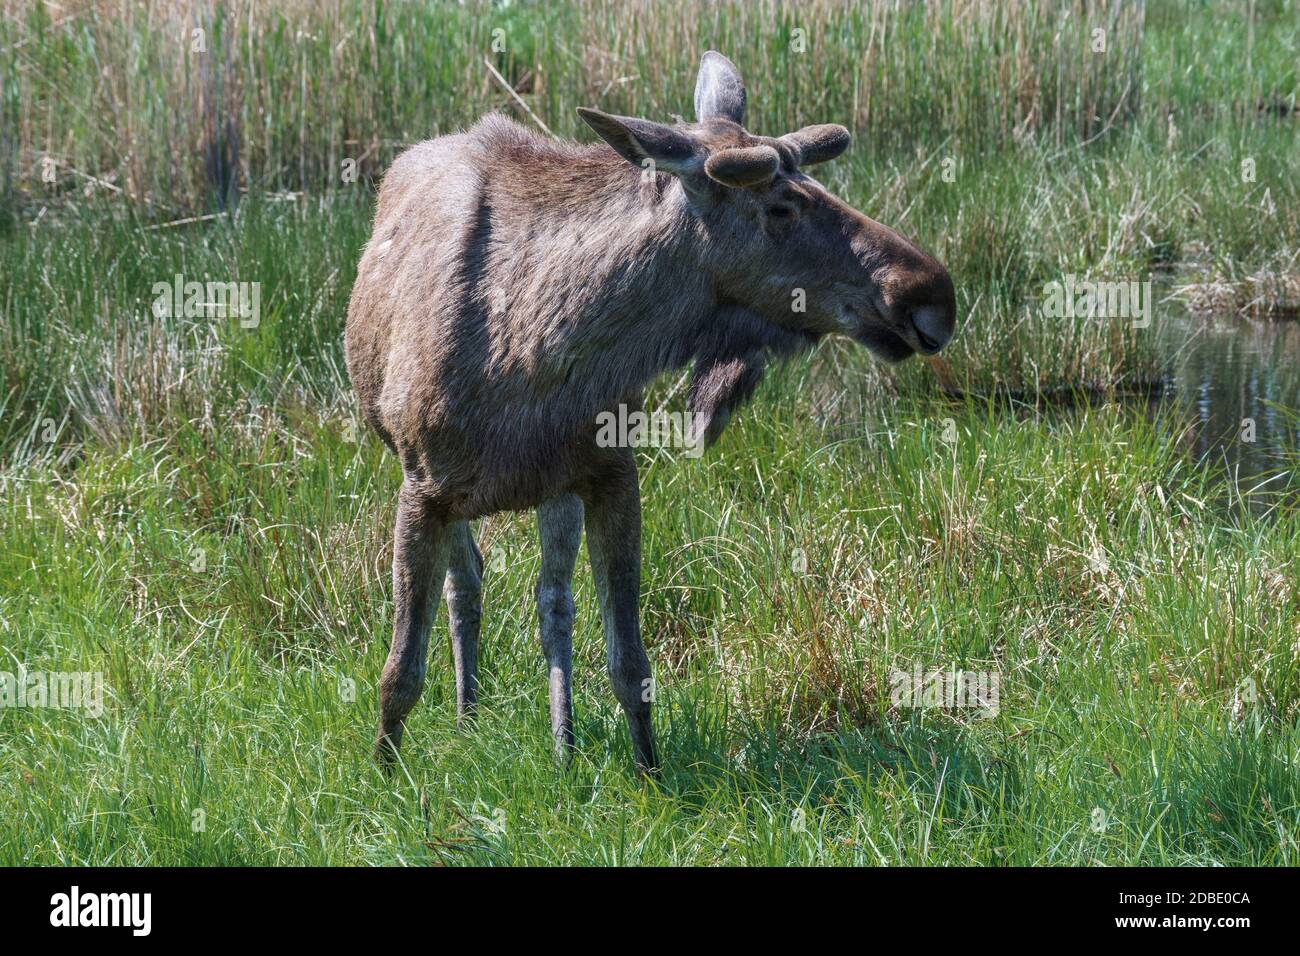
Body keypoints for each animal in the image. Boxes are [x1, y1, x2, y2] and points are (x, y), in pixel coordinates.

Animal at [344, 52, 956, 775]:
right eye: (779, 206)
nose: (930, 292)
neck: (528, 354)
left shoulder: (611, 471)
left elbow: (629, 662)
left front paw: (649, 773)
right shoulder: (423, 485)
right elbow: (400, 670)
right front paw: (386, 775)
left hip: (553, 486)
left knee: (551, 599)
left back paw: (563, 742)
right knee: (468, 583)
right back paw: (470, 712)